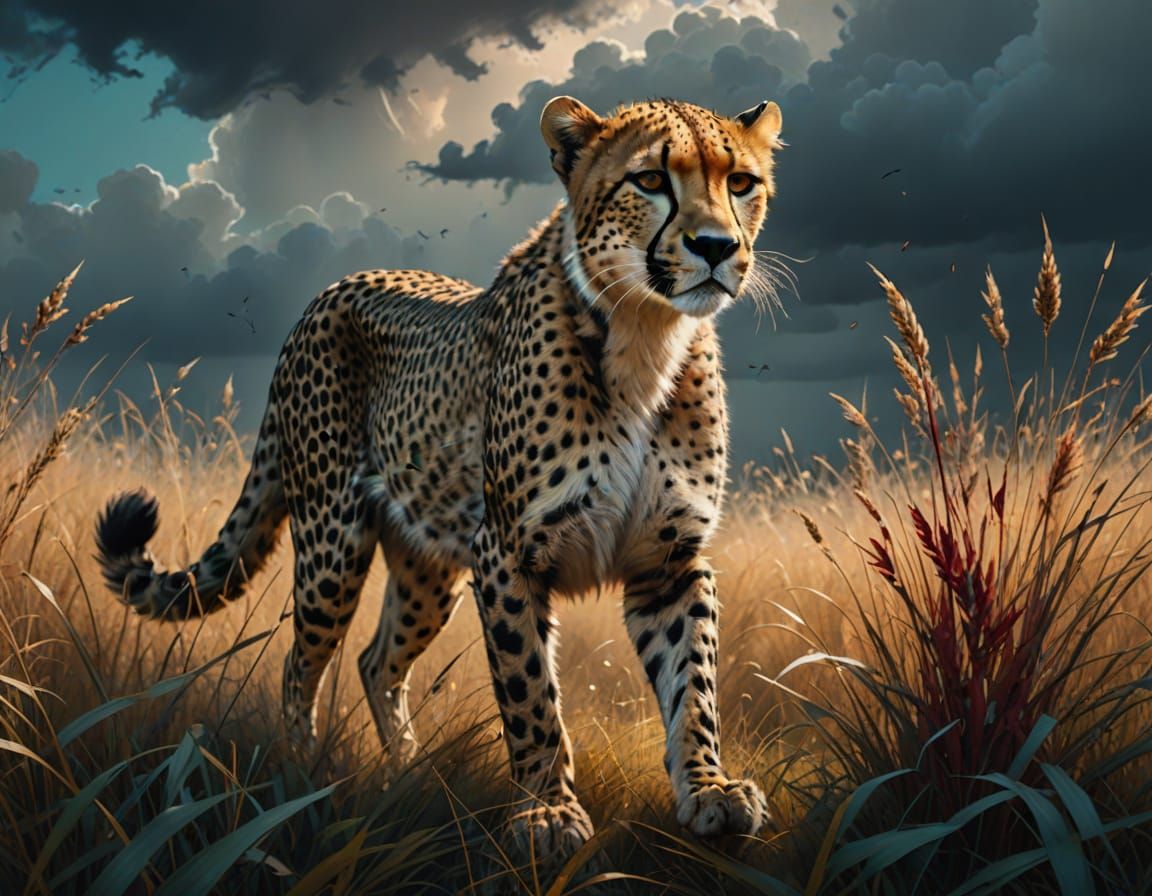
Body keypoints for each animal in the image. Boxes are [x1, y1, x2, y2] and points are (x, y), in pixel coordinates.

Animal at [95, 94, 784, 866]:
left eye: (741, 183)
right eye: (651, 180)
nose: (716, 247)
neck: (645, 334)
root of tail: (331, 289)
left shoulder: (669, 562)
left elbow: (693, 686)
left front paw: (710, 792)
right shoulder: (508, 553)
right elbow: (530, 694)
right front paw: (547, 813)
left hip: (427, 568)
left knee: (375, 662)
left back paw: (408, 771)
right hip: (333, 549)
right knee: (301, 662)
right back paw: (302, 772)